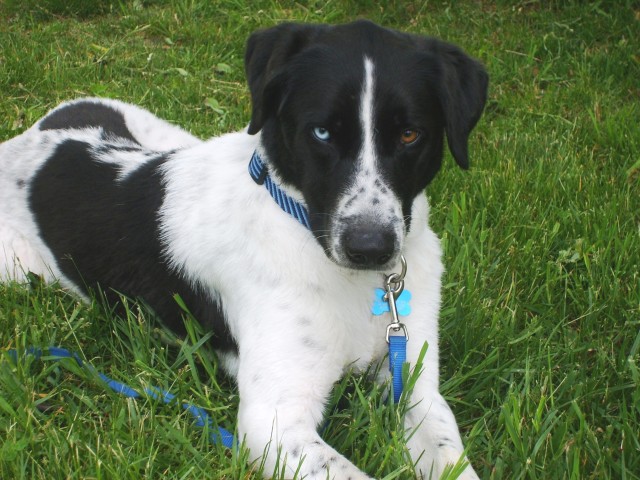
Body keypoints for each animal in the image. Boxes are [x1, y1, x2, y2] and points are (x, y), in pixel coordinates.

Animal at [0, 19, 488, 480]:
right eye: (321, 132)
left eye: (409, 135)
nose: (369, 247)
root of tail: (33, 133)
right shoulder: (273, 423)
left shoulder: (415, 384)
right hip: (17, 270)